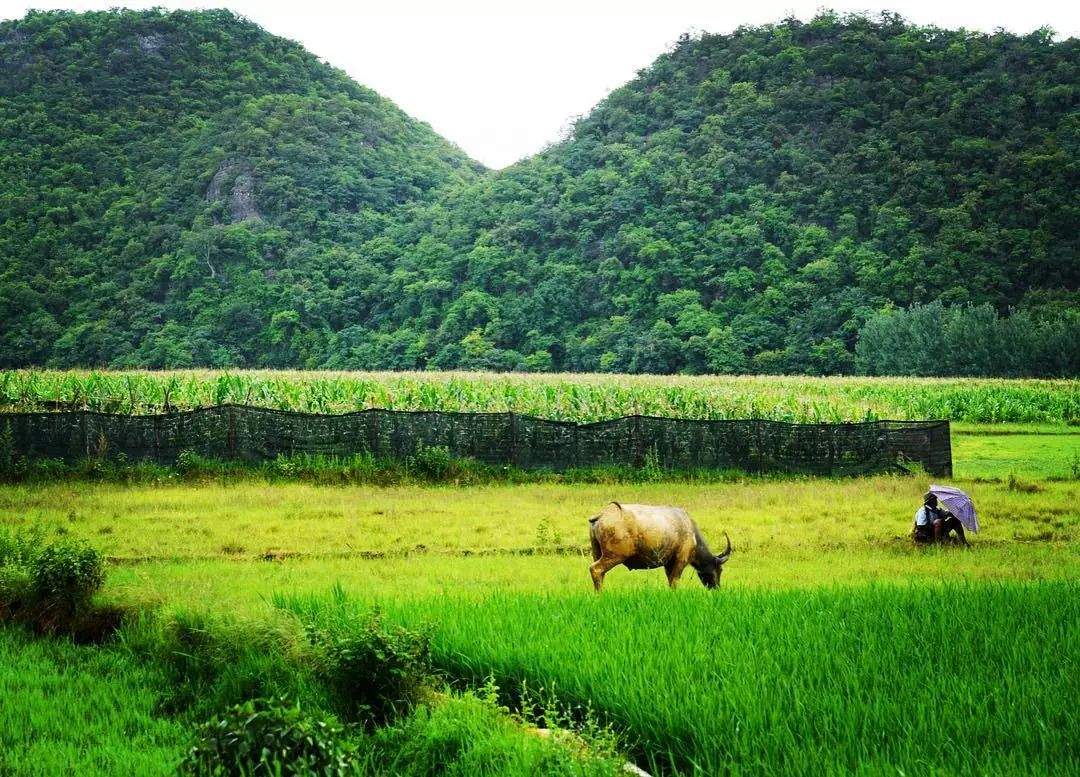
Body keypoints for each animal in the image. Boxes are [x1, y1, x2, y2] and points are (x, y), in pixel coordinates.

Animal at [587, 501, 730, 592]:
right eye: (720, 569)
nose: (717, 588)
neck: (691, 531)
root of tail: (603, 515)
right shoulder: (680, 560)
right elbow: (674, 582)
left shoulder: (668, 564)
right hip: (614, 555)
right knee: (596, 569)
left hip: (597, 553)